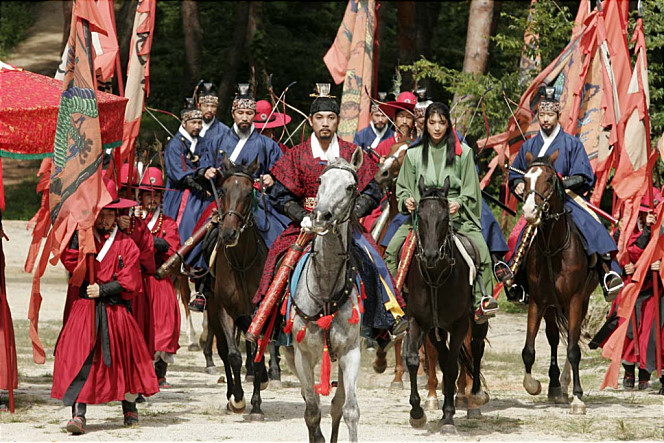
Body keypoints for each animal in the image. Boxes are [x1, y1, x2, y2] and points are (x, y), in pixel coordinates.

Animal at [402, 177, 490, 434]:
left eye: (443, 218)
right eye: (420, 216)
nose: (430, 255)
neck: (435, 276)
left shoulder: (459, 325)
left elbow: (452, 367)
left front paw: (449, 416)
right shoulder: (418, 321)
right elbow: (414, 360)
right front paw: (417, 412)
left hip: (476, 322)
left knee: (477, 348)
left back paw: (476, 395)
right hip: (435, 330)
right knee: (442, 356)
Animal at [520, 151, 596, 414]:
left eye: (550, 180)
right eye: (525, 179)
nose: (530, 211)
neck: (553, 248)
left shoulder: (575, 300)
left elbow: (573, 350)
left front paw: (578, 398)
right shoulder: (538, 301)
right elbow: (528, 350)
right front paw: (533, 384)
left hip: (581, 303)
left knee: (573, 339)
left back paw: (564, 385)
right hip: (552, 307)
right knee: (553, 338)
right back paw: (556, 386)